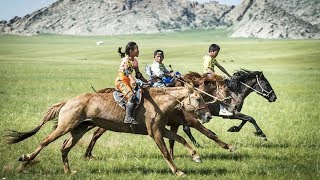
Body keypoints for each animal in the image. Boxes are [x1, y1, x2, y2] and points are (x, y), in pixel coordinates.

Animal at [3, 84, 211, 176]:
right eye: (198, 98)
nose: (208, 116)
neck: (159, 103)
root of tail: (68, 101)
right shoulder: (155, 133)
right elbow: (166, 152)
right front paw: (178, 172)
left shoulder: (160, 130)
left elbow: (180, 138)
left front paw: (196, 156)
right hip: (65, 126)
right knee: (45, 141)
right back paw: (24, 162)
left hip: (78, 130)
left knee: (64, 148)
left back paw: (69, 171)